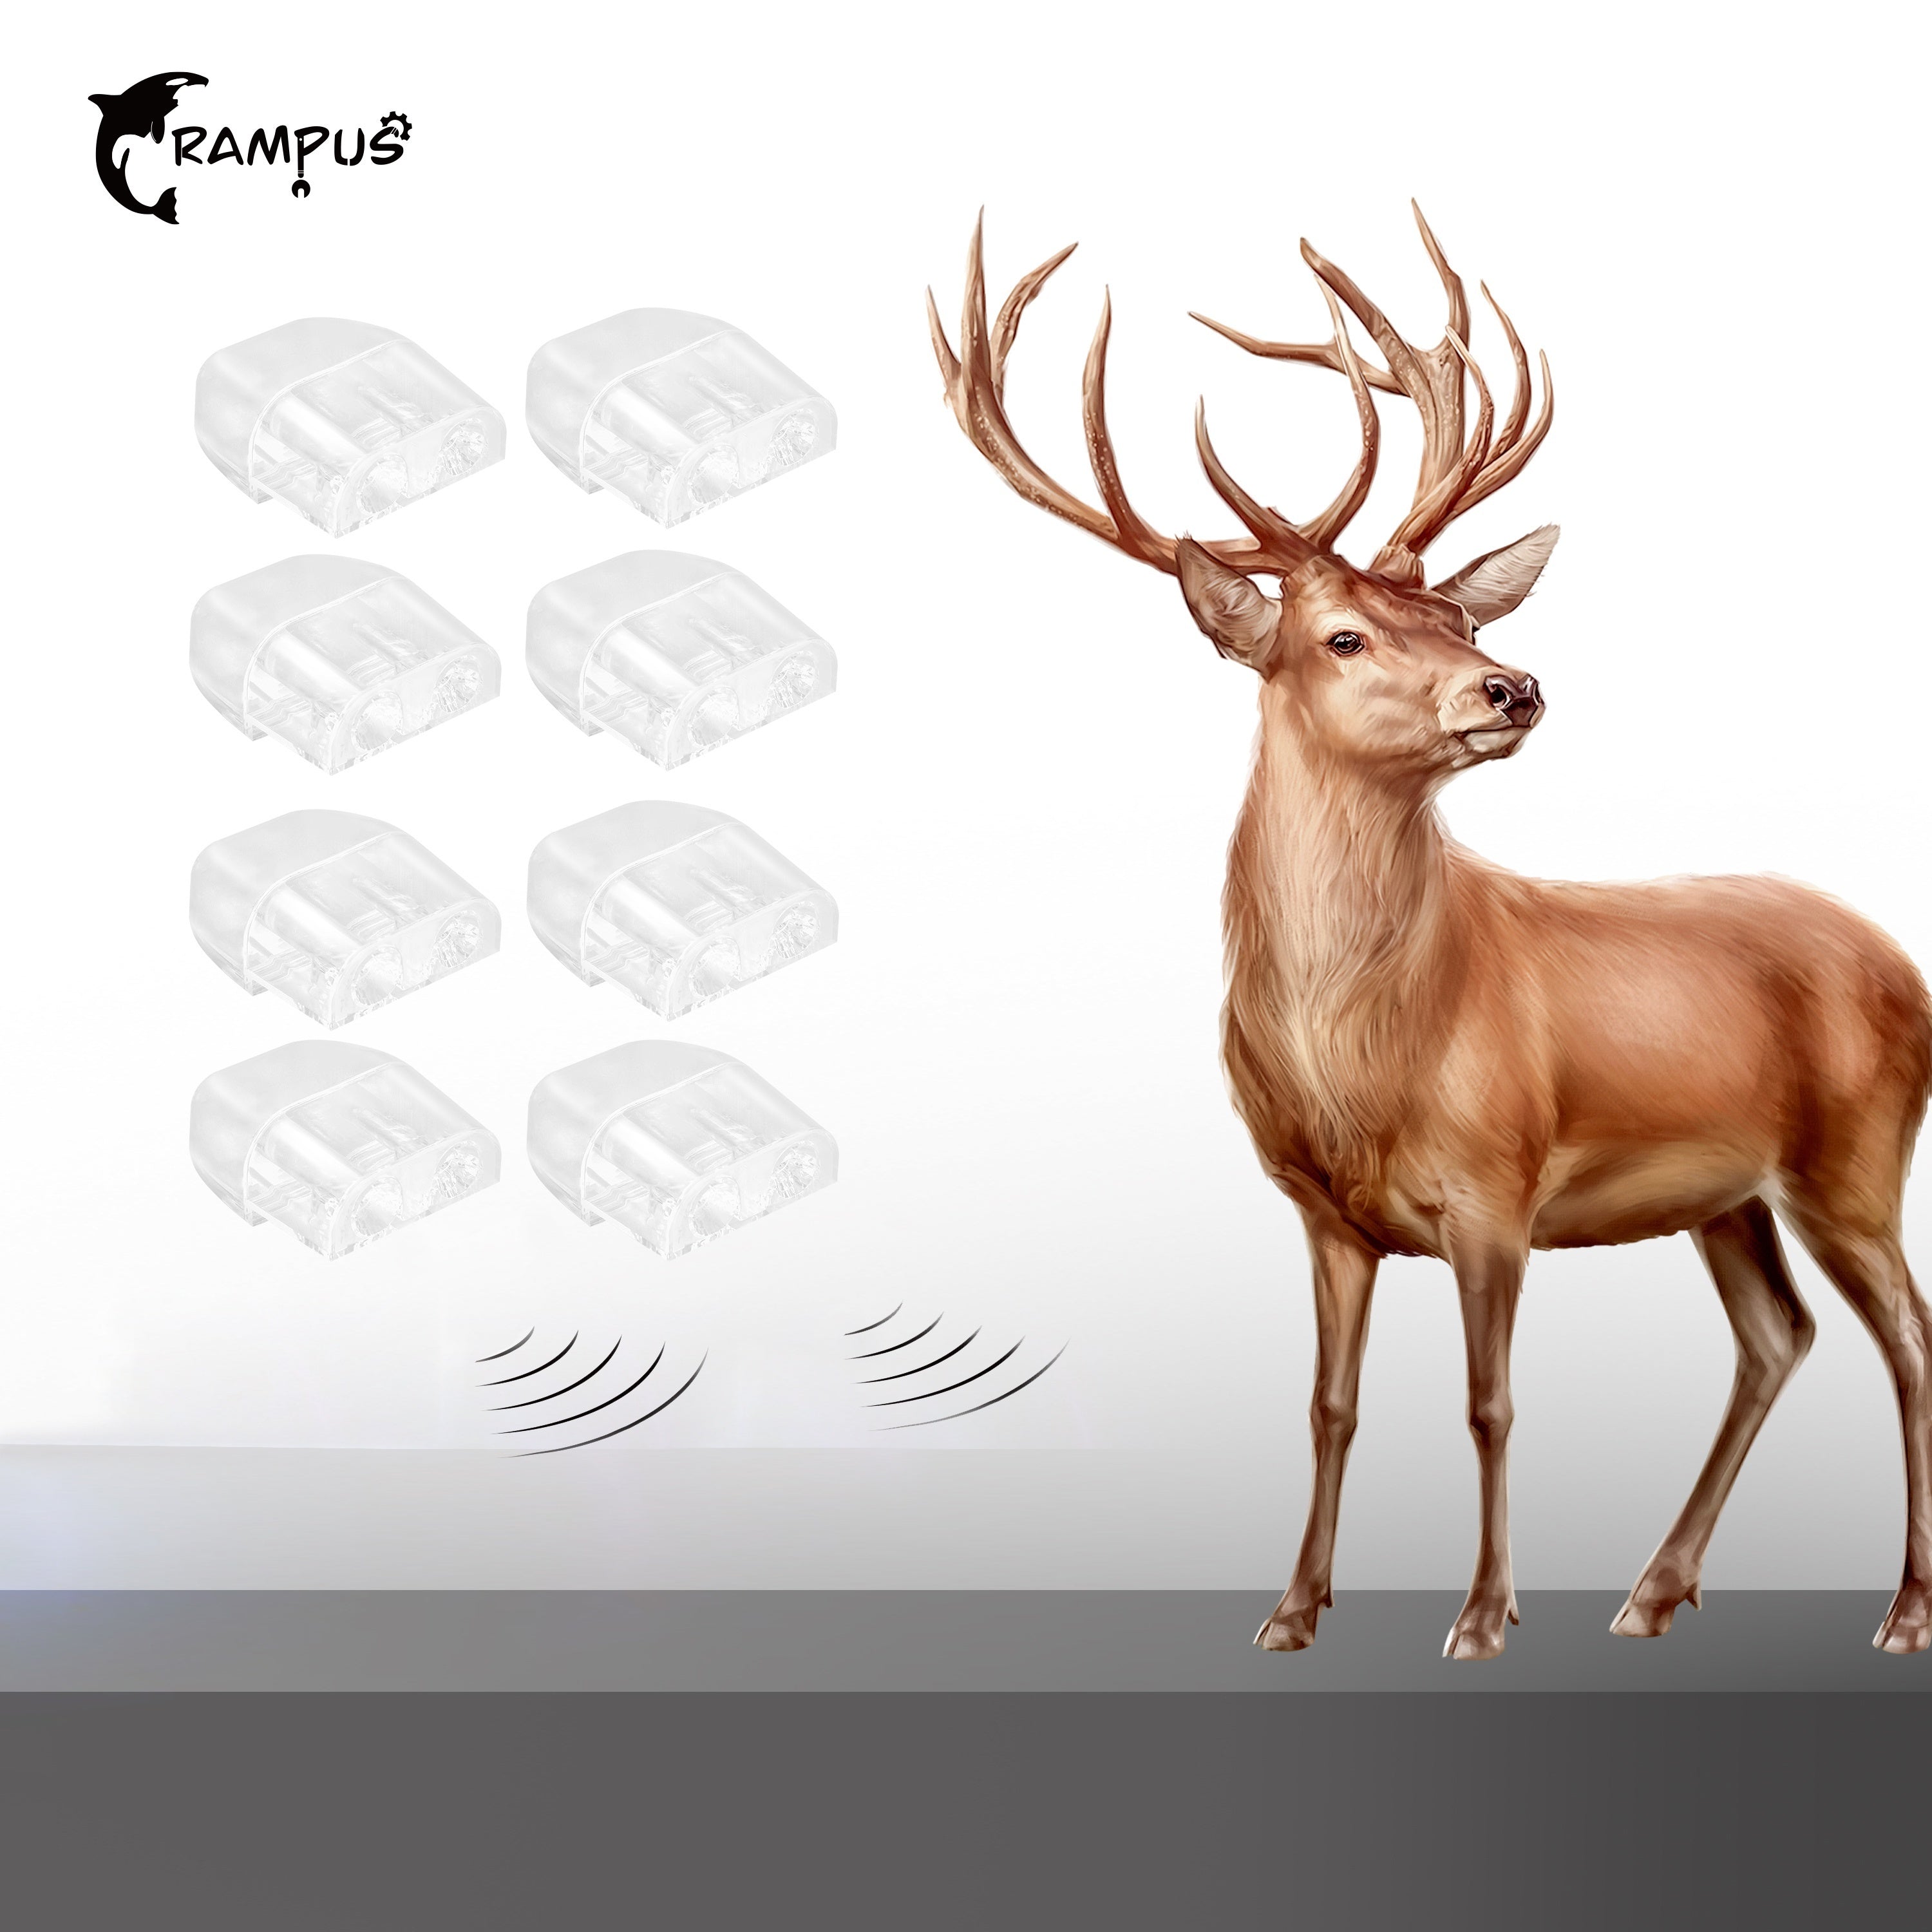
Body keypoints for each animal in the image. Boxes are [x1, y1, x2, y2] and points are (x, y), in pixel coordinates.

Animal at [928, 208, 1932, 1659]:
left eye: (1462, 616)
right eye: (1344, 636)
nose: (1514, 685)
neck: (1365, 1055)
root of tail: (1904, 963)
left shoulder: (1496, 1186)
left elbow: (1489, 1402)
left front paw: (1483, 1613)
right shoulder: (1322, 1212)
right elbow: (1329, 1406)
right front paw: (1293, 1610)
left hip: (1855, 1153)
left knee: (1906, 1336)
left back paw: (1904, 1610)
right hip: (1730, 1192)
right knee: (1777, 1337)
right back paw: (1654, 1590)